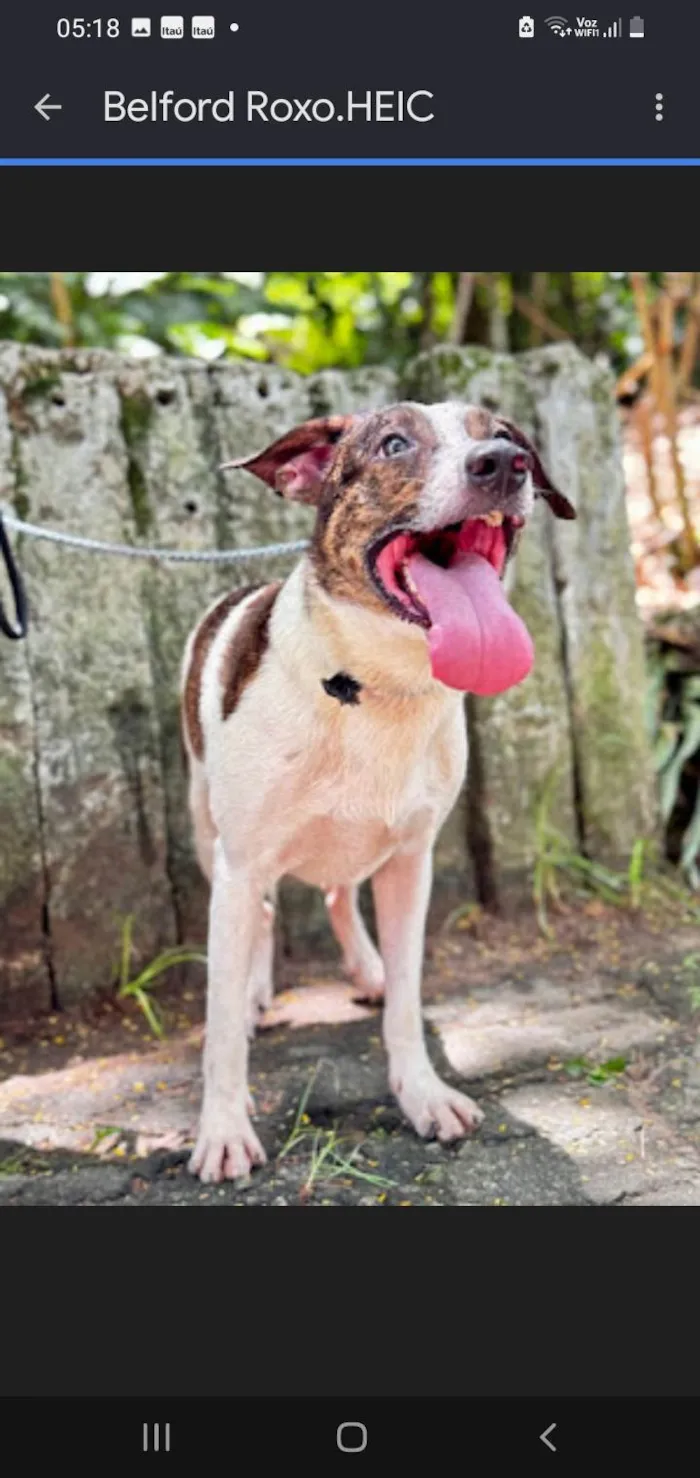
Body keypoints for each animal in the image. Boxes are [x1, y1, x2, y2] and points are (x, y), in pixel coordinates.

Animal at [180, 399, 572, 1182]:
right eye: (393, 444)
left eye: (504, 435)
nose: (501, 464)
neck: (375, 685)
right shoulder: (240, 866)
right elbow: (221, 1032)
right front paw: (224, 1129)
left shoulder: (410, 862)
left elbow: (407, 1002)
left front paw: (422, 1093)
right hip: (208, 830)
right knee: (261, 916)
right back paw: (257, 990)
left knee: (336, 894)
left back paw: (366, 967)